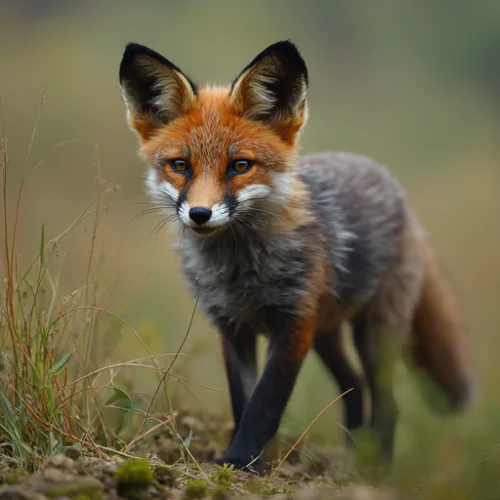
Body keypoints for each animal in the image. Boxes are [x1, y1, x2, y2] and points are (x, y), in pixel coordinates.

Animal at [119, 39, 474, 472]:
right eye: (180, 166)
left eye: (240, 165)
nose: (199, 214)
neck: (242, 271)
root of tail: (395, 188)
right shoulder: (233, 328)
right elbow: (243, 401)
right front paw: (251, 459)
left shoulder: (293, 324)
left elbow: (265, 403)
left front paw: (242, 460)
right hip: (326, 334)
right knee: (353, 385)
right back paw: (352, 454)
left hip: (373, 333)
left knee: (387, 401)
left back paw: (375, 466)